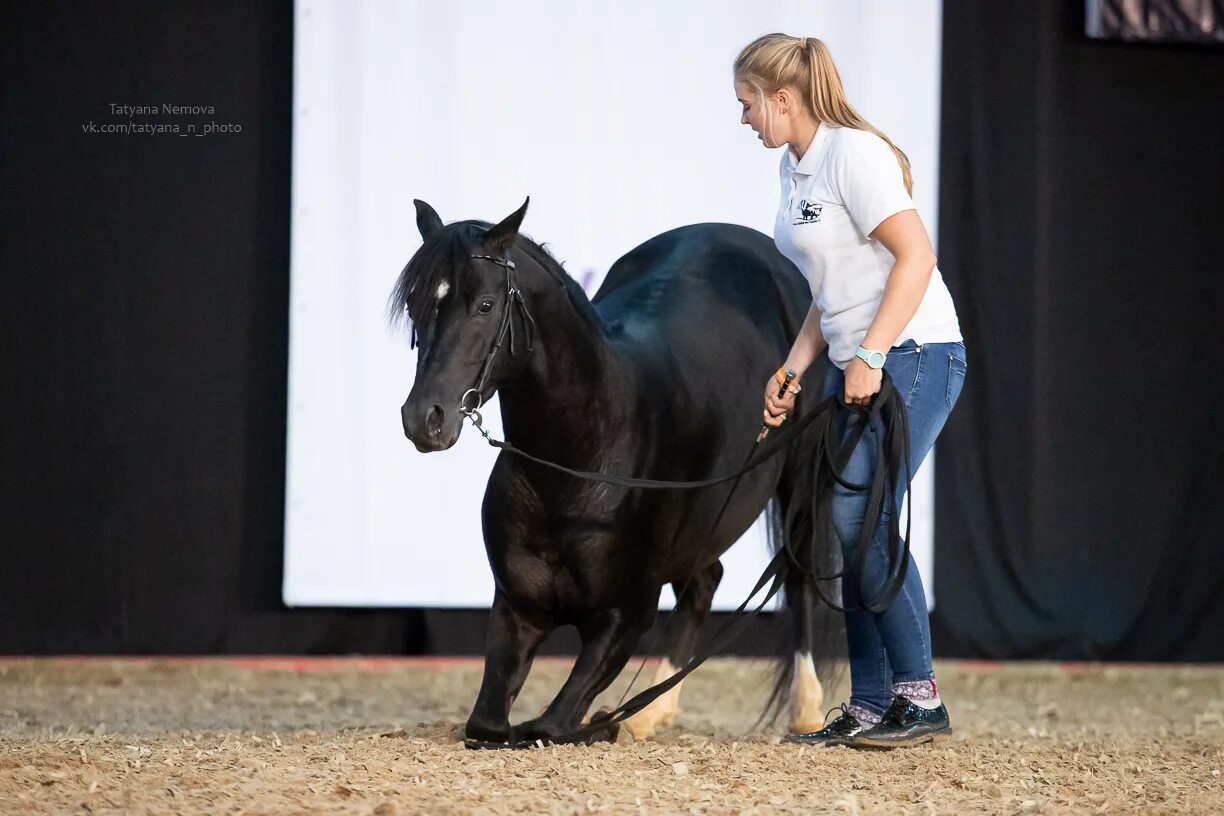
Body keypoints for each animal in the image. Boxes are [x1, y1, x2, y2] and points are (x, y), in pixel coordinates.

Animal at [391, 198, 842, 748]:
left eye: (485, 305)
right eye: (415, 306)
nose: (423, 419)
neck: (580, 461)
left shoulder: (625, 618)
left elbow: (549, 725)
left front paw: (601, 725)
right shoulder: (517, 609)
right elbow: (490, 724)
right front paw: (614, 722)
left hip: (802, 474)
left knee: (796, 573)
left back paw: (806, 711)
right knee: (704, 581)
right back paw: (649, 716)